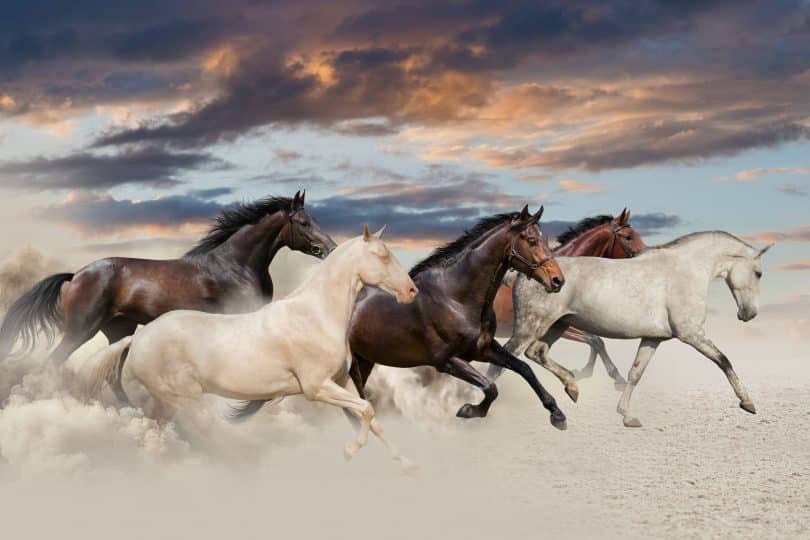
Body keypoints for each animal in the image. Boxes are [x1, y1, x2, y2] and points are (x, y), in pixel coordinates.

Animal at [0, 192, 334, 364]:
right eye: (304, 222)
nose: (330, 248)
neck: (235, 265)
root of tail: (77, 274)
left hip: (119, 330)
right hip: (80, 330)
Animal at [78, 226, 416, 466]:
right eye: (382, 256)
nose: (411, 291)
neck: (314, 315)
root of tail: (139, 338)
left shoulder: (340, 382)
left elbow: (369, 417)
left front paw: (406, 464)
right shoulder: (317, 387)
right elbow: (367, 410)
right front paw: (350, 451)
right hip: (181, 398)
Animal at [348, 205, 568, 428]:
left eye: (544, 239)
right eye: (531, 240)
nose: (558, 281)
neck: (455, 298)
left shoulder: (484, 349)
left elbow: (524, 368)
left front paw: (557, 414)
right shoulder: (447, 361)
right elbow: (490, 387)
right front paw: (469, 410)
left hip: (365, 359)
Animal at [486, 230, 772, 428]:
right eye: (758, 273)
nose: (749, 314)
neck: (685, 271)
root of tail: (522, 274)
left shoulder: (653, 338)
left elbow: (635, 373)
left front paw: (627, 416)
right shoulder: (691, 334)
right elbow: (723, 360)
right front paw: (748, 403)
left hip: (557, 326)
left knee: (536, 353)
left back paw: (572, 388)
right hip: (530, 327)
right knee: (503, 361)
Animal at [490, 207, 648, 388]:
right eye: (629, 237)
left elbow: (596, 340)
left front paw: (582, 373)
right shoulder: (562, 326)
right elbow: (595, 340)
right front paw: (614, 377)